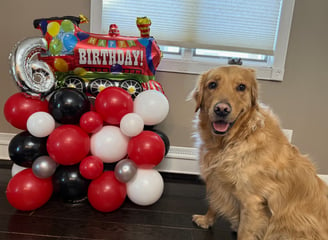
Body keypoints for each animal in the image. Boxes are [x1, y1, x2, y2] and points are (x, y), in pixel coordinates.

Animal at [191, 64, 328, 239]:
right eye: (212, 85)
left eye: (241, 87)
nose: (222, 109)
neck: (234, 139)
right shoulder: (216, 180)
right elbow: (213, 204)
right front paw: (206, 220)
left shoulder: (252, 201)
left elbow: (244, 232)